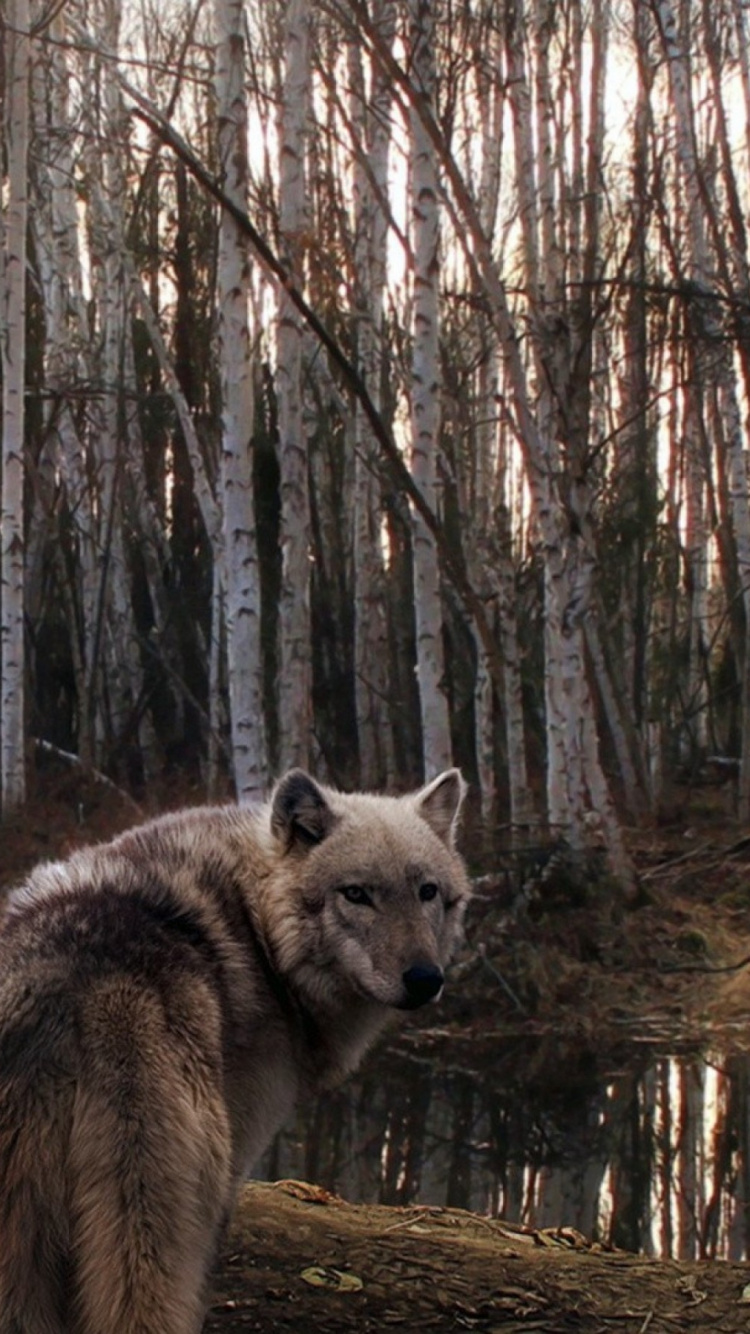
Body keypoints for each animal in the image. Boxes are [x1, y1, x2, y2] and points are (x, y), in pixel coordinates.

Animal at [0, 767, 469, 1334]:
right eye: (356, 894)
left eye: (427, 892)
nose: (425, 979)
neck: (257, 928)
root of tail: (80, 990)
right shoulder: (237, 1159)